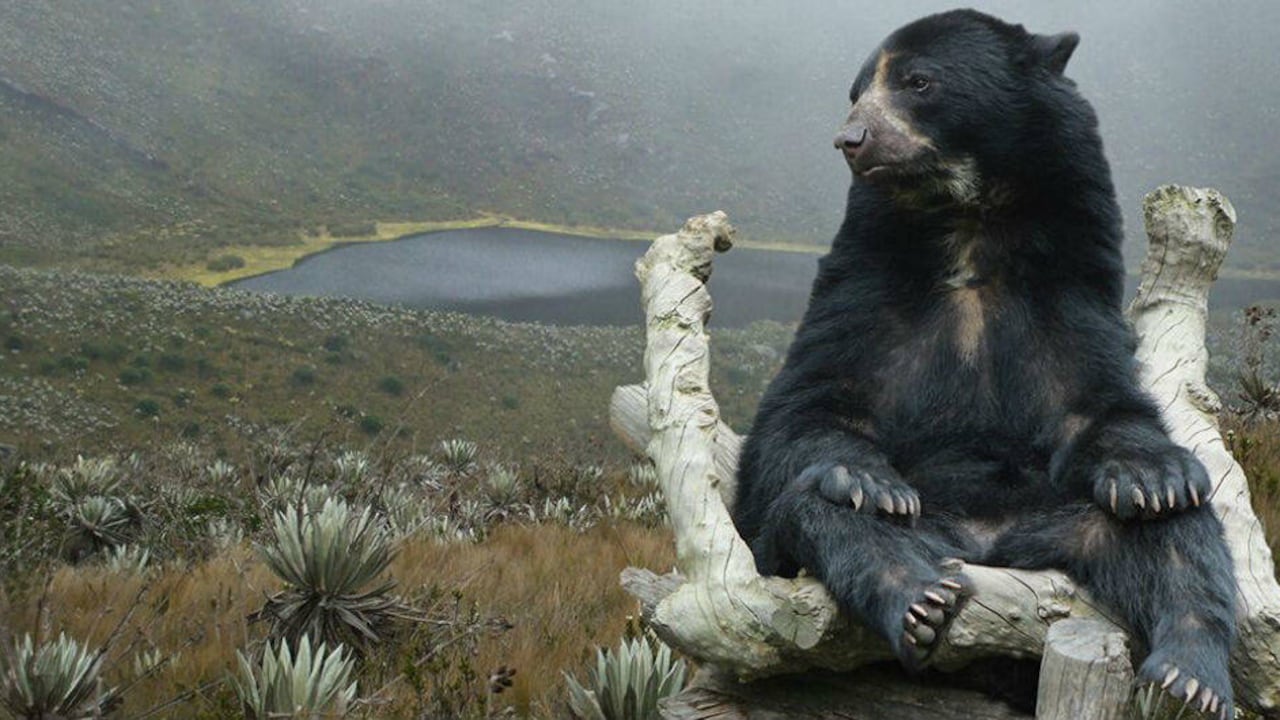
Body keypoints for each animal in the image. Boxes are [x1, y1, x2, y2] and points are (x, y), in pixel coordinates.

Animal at [732, 9, 1237, 717]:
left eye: (918, 82)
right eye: (856, 91)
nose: (852, 138)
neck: (967, 221)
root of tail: (985, 544)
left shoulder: (1069, 281)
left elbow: (1097, 404)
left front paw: (1152, 475)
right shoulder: (865, 279)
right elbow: (809, 407)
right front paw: (869, 479)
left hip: (1062, 518)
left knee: (1176, 539)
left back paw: (1189, 675)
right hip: (903, 522)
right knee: (828, 514)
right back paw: (919, 596)